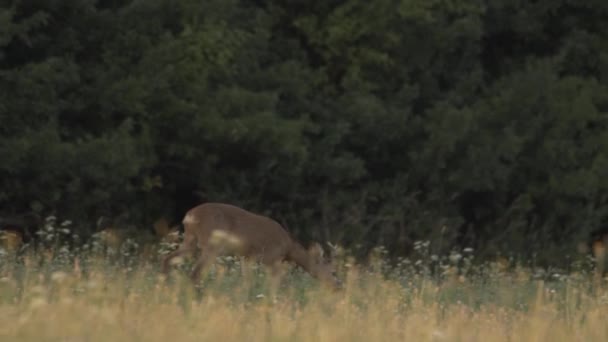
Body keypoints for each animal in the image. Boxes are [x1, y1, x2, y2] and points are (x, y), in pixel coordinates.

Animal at [162, 202, 342, 290]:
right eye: (332, 271)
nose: (337, 286)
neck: (288, 247)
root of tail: (189, 216)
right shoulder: (271, 259)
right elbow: (278, 283)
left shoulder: (247, 257)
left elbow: (246, 281)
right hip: (212, 244)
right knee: (196, 273)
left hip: (191, 240)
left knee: (169, 258)